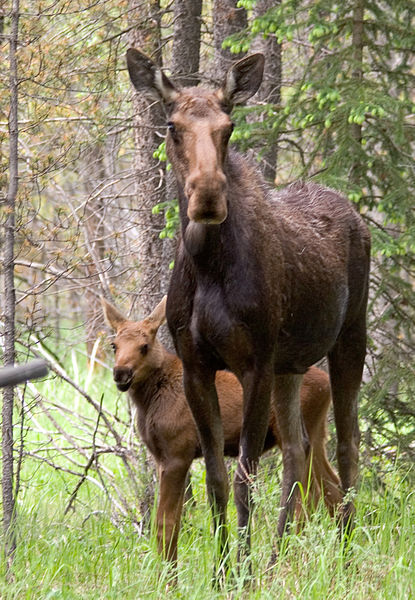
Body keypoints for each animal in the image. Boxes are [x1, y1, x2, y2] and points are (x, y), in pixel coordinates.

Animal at [126, 48, 370, 572]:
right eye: (172, 125)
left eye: (229, 126)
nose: (207, 194)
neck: (208, 268)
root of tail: (355, 214)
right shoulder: (199, 365)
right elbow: (217, 479)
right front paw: (223, 571)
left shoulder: (254, 362)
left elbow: (245, 477)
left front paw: (243, 572)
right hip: (290, 365)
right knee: (298, 453)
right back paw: (278, 558)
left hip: (348, 338)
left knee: (347, 447)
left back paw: (344, 558)